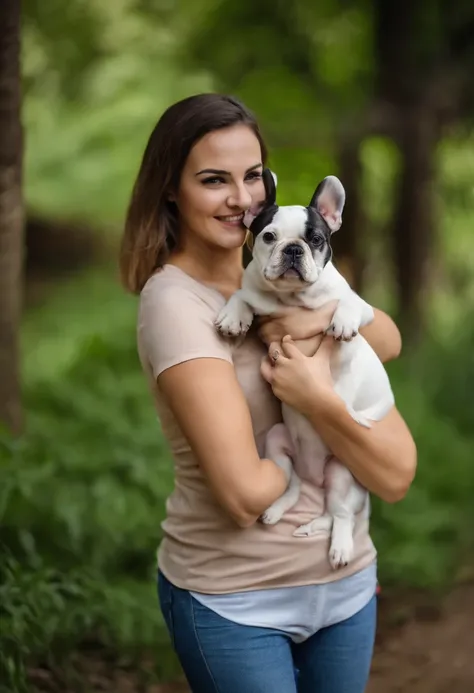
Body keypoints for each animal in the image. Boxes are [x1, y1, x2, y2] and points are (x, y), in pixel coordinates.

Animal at [213, 168, 394, 568]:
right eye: (268, 236)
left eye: (316, 239)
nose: (294, 249)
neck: (290, 299)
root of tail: (314, 476)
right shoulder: (253, 291)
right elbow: (241, 296)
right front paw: (233, 316)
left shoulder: (362, 306)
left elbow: (348, 305)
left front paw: (341, 322)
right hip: (277, 443)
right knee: (292, 486)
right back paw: (278, 509)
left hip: (341, 473)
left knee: (339, 514)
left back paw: (339, 545)